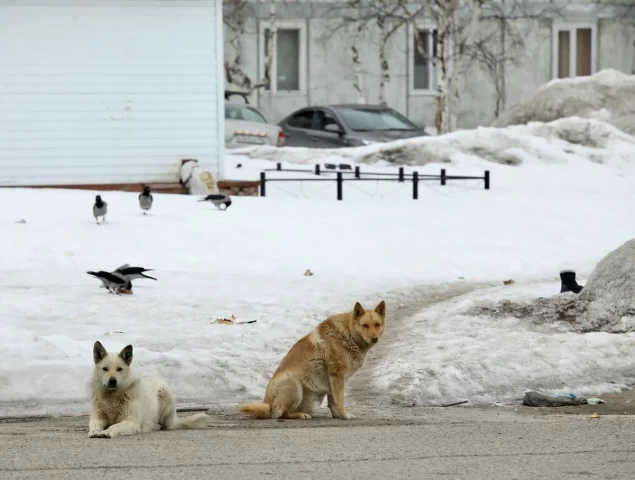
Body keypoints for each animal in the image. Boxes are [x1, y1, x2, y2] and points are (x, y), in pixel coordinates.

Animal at [240, 302, 386, 418]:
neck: (349, 334)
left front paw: (338, 416)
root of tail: (268, 404)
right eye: (365, 325)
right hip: (294, 384)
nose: (375, 338)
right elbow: (340, 401)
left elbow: (333, 402)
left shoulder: (333, 380)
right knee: (281, 413)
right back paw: (300, 415)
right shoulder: (337, 376)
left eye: (377, 324)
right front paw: (345, 415)